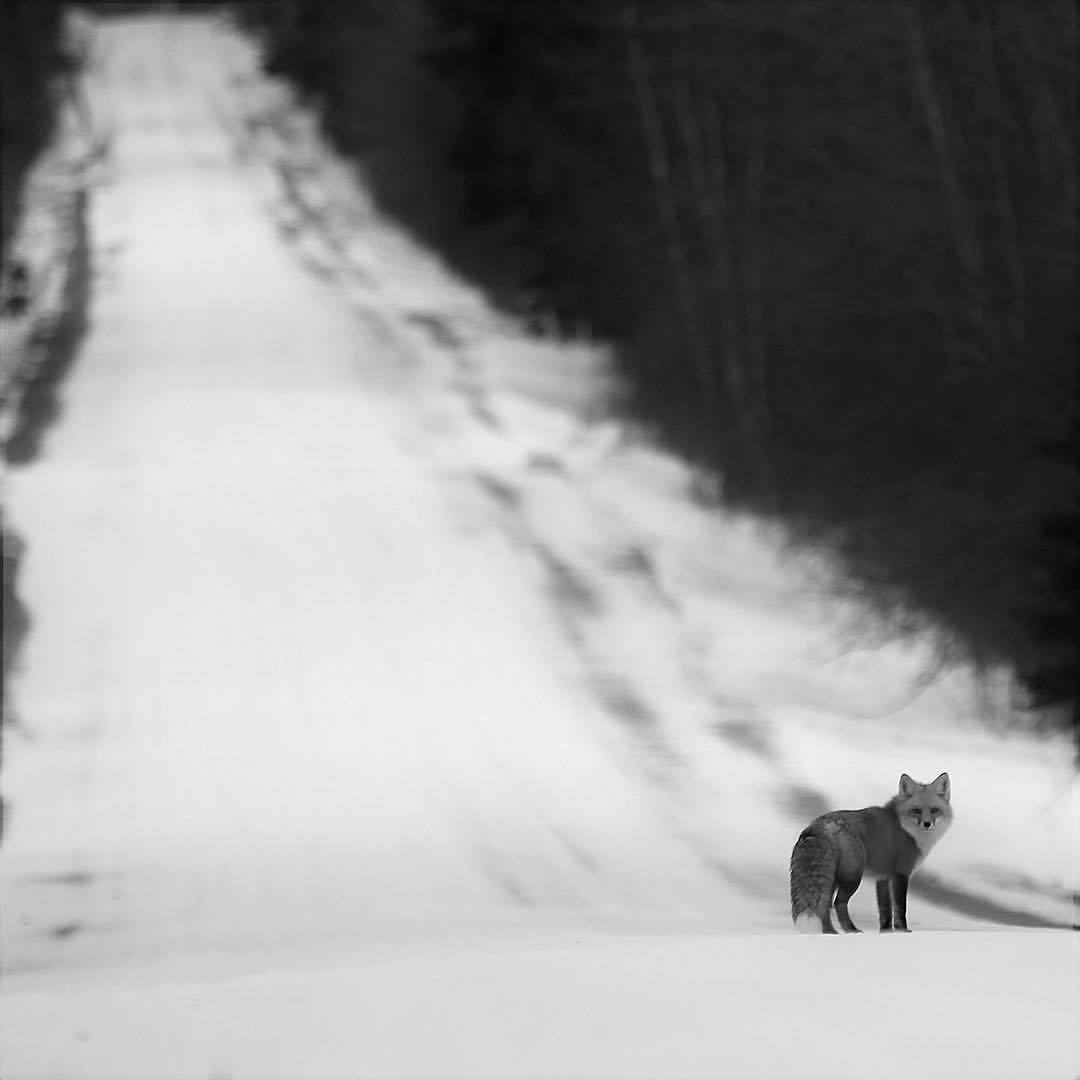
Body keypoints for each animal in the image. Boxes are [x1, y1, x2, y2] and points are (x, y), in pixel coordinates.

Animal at [786, 773, 954, 933]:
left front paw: (886, 932)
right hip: (852, 877)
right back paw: (850, 930)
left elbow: (885, 910)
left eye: (934, 810)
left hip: (832, 879)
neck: (906, 829)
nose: (927, 824)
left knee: (825, 905)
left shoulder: (883, 877)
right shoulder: (900, 874)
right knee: (838, 902)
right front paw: (902, 930)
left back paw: (831, 932)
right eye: (916, 810)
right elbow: (900, 908)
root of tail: (818, 825)